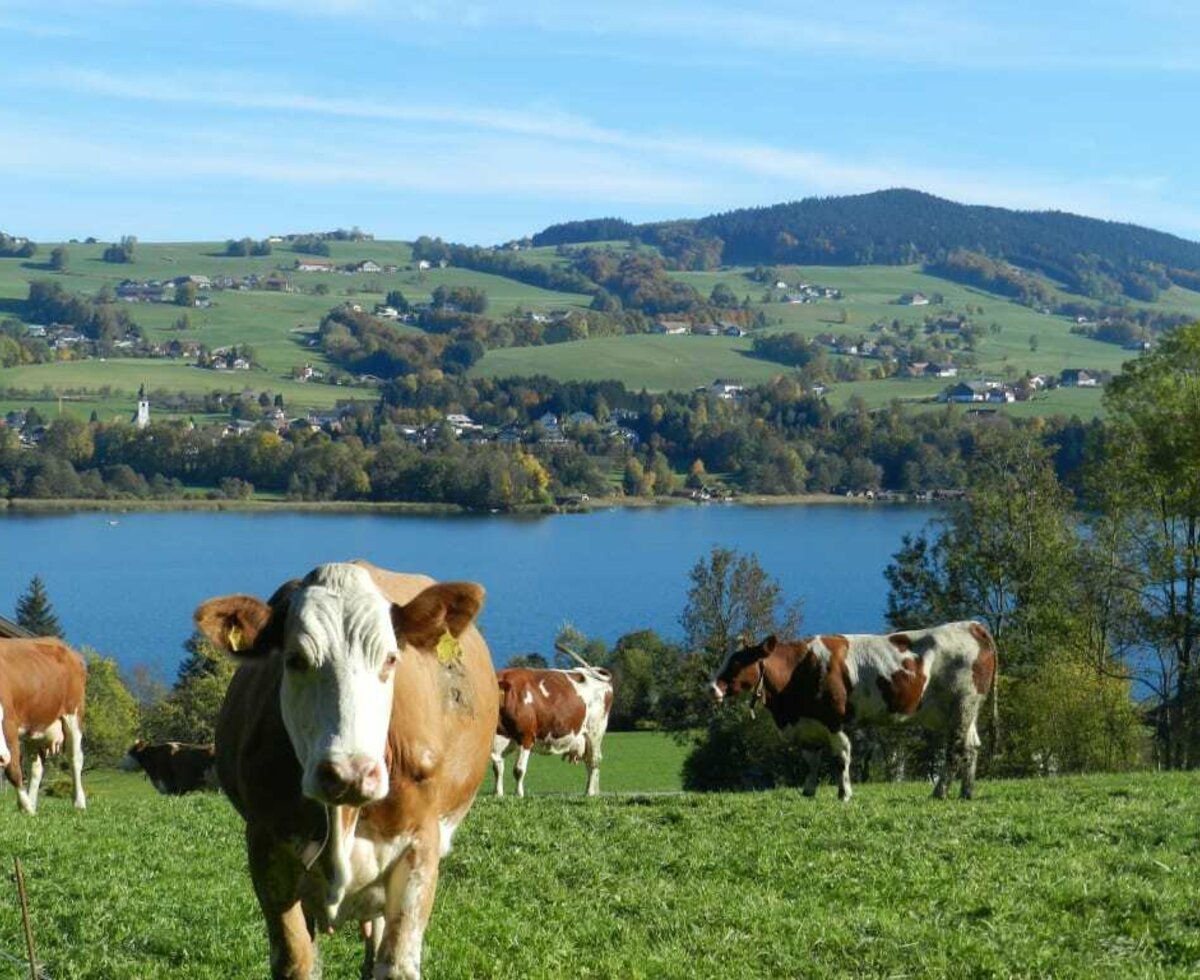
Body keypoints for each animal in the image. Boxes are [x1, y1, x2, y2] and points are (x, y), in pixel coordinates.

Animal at [0, 633, 87, 810]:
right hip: (35, 729)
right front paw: (27, 806)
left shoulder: (8, 723)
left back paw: (79, 802)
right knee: (36, 767)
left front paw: (26, 807)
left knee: (75, 758)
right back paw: (32, 802)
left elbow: (13, 768)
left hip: (73, 714)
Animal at [196, 558, 496, 978]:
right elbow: (297, 960)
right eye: (295, 660)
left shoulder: (421, 843)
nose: (349, 774)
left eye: (390, 658)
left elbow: (397, 962)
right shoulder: (265, 847)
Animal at [492, 666, 614, 796]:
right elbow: (497, 769)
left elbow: (518, 770)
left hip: (594, 733)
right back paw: (592, 791)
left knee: (593, 761)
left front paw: (519, 794)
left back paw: (589, 792)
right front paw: (498, 794)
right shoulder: (497, 742)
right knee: (589, 761)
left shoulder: (526, 736)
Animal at [705, 623, 998, 801]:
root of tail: (972, 625)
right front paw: (808, 791)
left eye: (738, 661)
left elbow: (841, 756)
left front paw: (844, 792)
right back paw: (966, 792)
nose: (711, 688)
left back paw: (940, 791)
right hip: (964, 711)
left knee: (956, 748)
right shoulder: (807, 724)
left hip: (963, 704)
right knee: (972, 746)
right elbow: (811, 760)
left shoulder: (833, 720)